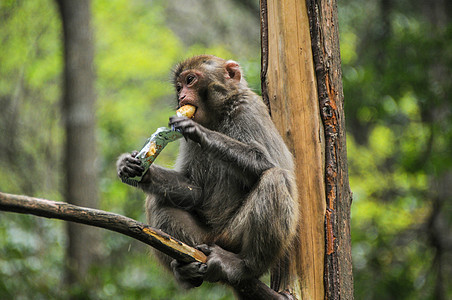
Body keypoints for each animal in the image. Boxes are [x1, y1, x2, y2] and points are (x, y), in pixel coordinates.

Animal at [117, 54, 300, 292]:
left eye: (190, 80)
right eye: (179, 87)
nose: (182, 96)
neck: (218, 115)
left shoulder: (249, 109)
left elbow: (273, 164)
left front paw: (201, 133)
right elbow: (195, 189)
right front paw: (136, 169)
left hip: (232, 235)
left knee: (276, 178)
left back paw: (244, 266)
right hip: (200, 239)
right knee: (156, 201)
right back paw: (185, 272)